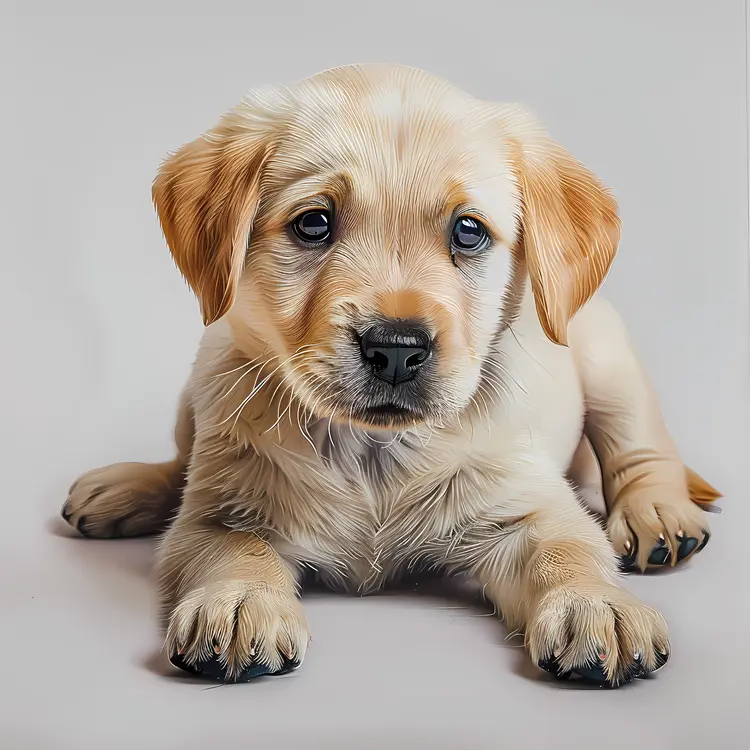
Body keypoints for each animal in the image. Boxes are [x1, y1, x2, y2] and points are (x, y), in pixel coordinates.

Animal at [63, 63, 724, 688]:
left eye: (468, 230)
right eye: (313, 224)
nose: (396, 350)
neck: (374, 451)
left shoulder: (525, 504)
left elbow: (567, 549)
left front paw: (597, 606)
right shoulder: (217, 509)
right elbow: (234, 545)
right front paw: (239, 599)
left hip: (608, 358)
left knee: (641, 449)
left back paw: (658, 514)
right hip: (198, 389)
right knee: (181, 462)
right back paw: (124, 487)